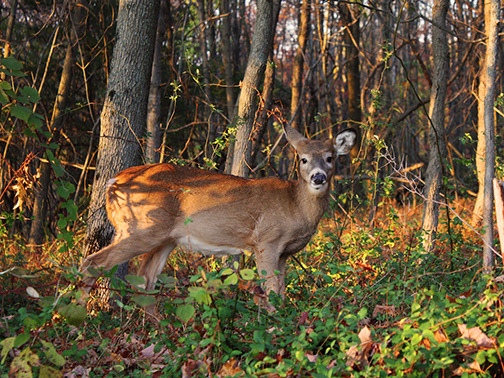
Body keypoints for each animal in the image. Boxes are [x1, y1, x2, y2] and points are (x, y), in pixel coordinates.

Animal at [79, 127, 356, 304]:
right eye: (303, 159)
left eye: (330, 158)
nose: (318, 177)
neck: (294, 205)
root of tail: (113, 181)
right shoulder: (267, 241)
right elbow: (271, 292)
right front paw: (274, 327)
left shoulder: (285, 254)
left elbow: (281, 291)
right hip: (142, 227)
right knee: (92, 263)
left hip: (162, 237)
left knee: (145, 281)